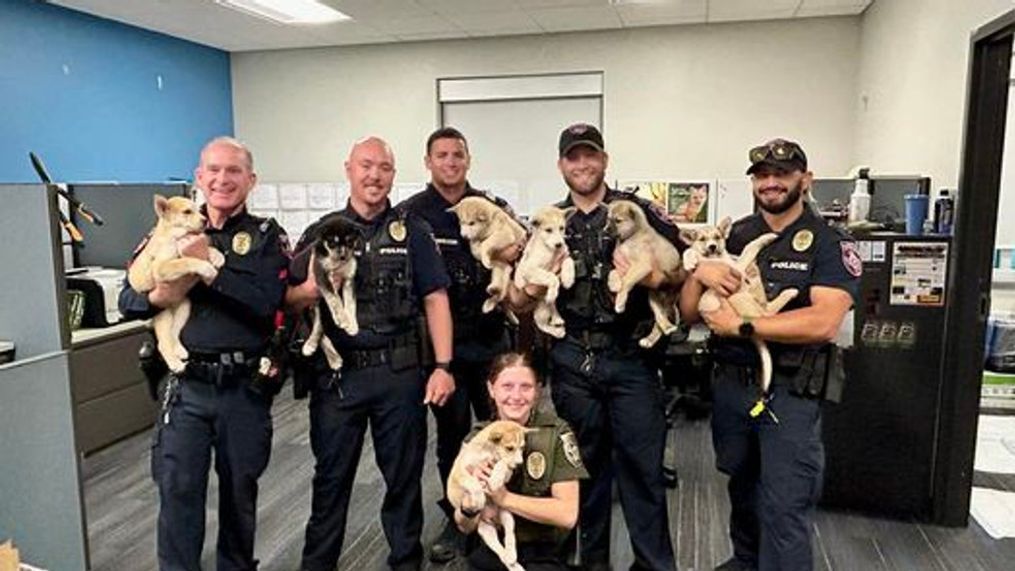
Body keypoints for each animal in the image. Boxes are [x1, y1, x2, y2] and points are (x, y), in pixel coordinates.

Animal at [126, 195, 224, 375]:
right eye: (187, 212)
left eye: (200, 211)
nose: (205, 220)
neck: (175, 236)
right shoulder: (161, 267)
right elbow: (185, 261)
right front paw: (206, 268)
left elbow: (205, 249)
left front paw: (217, 255)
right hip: (163, 316)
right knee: (163, 343)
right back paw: (175, 363)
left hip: (184, 307)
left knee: (174, 333)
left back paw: (179, 351)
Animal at [450, 419, 531, 571]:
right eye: (509, 448)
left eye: (522, 448)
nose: (520, 464)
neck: (487, 452)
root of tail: (494, 520)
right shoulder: (458, 472)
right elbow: (472, 482)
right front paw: (479, 498)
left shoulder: (506, 472)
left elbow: (503, 463)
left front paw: (494, 480)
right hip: (485, 529)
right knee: (499, 551)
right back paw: (511, 562)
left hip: (507, 515)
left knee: (509, 536)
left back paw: (512, 556)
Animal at [511, 207, 576, 336]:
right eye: (548, 230)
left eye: (562, 228)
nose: (559, 244)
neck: (549, 250)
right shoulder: (529, 269)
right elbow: (551, 276)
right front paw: (552, 292)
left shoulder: (564, 255)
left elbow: (569, 261)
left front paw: (568, 279)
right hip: (542, 309)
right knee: (541, 324)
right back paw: (557, 331)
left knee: (553, 308)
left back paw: (557, 319)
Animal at [604, 200, 686, 348]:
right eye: (608, 219)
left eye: (618, 221)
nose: (605, 230)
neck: (633, 234)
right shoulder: (621, 264)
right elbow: (613, 273)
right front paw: (614, 284)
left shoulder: (642, 265)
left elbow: (627, 280)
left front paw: (620, 303)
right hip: (653, 299)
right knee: (659, 319)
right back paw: (657, 334)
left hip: (666, 299)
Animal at [682, 217, 799, 395]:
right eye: (702, 239)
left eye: (717, 237)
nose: (712, 247)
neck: (716, 258)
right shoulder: (735, 268)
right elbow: (747, 248)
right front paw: (689, 261)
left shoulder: (734, 263)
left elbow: (744, 250)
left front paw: (765, 239)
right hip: (739, 297)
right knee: (767, 313)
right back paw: (789, 292)